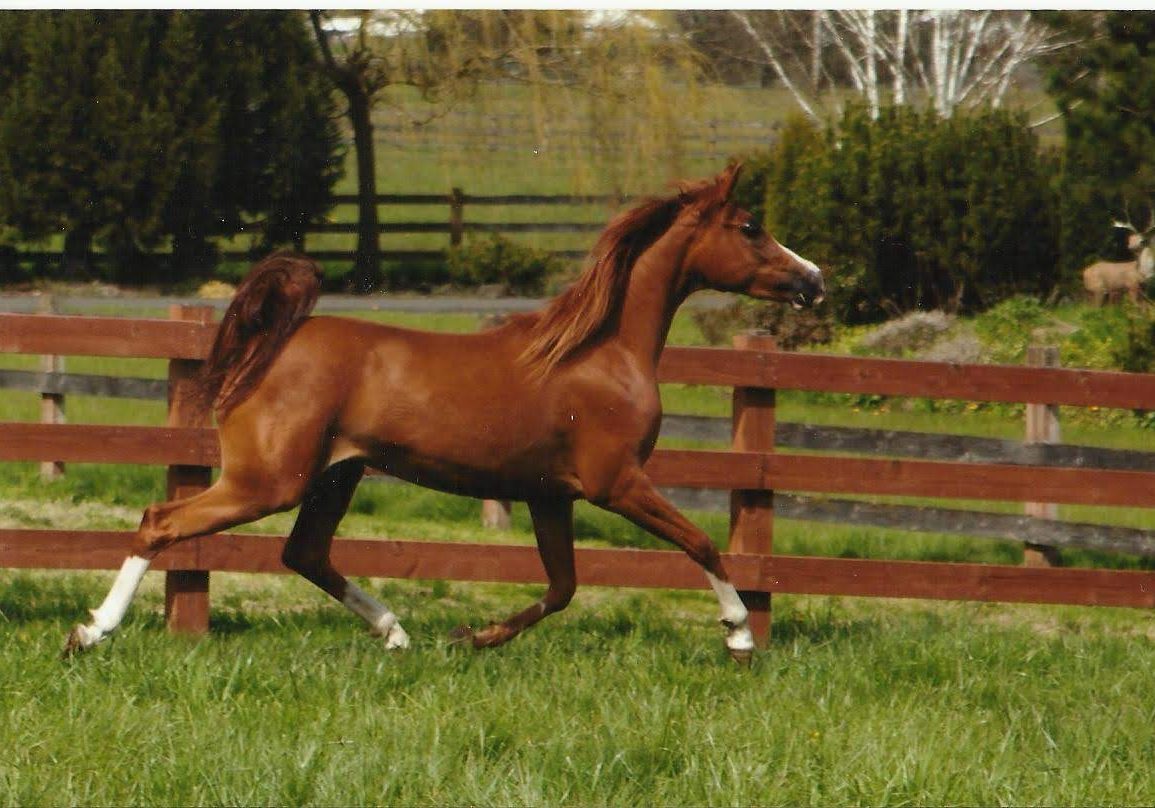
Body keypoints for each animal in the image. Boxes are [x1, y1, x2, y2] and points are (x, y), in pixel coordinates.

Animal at [63, 163, 825, 664]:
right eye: (750, 227)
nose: (814, 280)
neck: (602, 351)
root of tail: (273, 341)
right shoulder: (617, 483)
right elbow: (700, 543)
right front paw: (739, 634)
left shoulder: (550, 495)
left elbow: (563, 587)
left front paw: (473, 636)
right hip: (267, 481)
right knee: (162, 522)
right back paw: (91, 632)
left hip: (335, 476)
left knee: (305, 552)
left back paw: (397, 633)